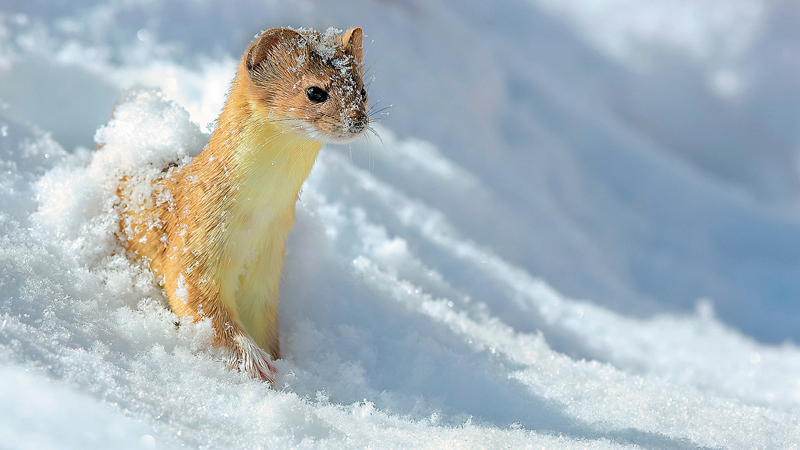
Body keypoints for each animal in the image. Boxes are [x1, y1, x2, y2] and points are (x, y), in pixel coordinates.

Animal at [116, 26, 372, 382]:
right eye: (315, 91)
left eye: (362, 90)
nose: (357, 121)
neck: (255, 218)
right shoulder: (193, 244)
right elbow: (201, 307)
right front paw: (255, 362)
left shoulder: (269, 260)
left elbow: (263, 321)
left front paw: (276, 361)